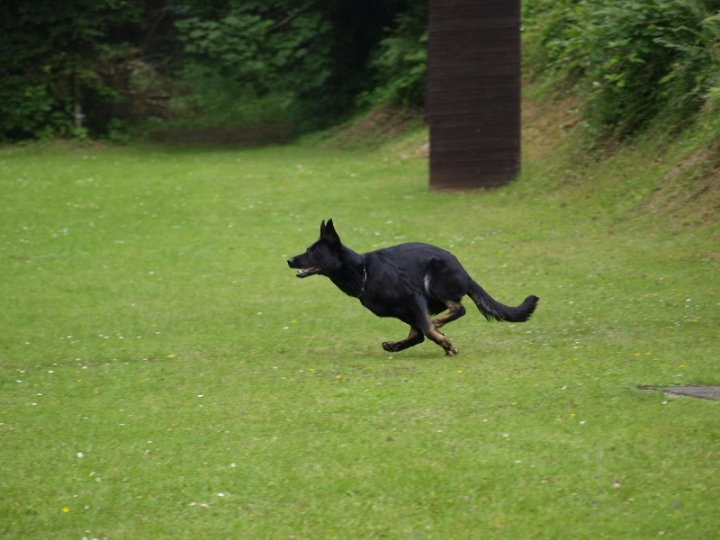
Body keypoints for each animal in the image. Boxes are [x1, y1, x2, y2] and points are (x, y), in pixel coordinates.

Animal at [290, 219, 536, 354]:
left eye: (313, 252)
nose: (289, 260)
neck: (363, 272)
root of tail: (465, 273)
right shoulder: (407, 310)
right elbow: (420, 334)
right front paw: (439, 342)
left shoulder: (414, 297)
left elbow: (427, 329)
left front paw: (445, 341)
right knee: (423, 330)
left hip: (434, 281)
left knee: (459, 308)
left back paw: (440, 323)